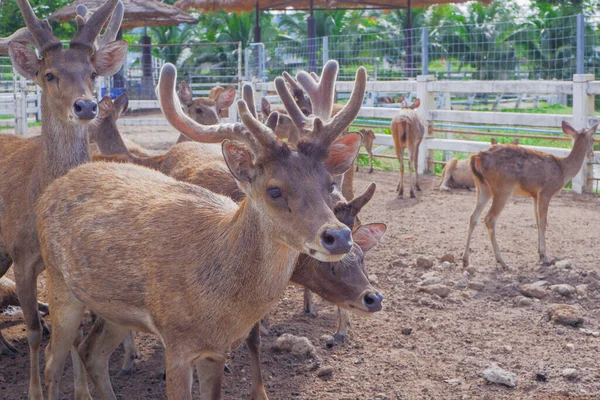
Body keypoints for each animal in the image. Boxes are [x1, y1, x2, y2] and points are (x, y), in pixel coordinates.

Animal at [0, 1, 125, 398]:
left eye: (93, 73)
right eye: (49, 74)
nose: (85, 106)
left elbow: (75, 335)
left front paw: (82, 391)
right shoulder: (23, 258)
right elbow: (34, 333)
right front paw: (34, 392)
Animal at [36, 60, 366, 400]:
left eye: (329, 184)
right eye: (274, 190)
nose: (338, 236)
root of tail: (54, 186)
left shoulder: (215, 351)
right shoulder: (176, 343)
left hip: (113, 309)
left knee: (92, 352)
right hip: (59, 284)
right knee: (52, 360)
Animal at [464, 120, 596, 268]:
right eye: (593, 139)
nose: (592, 154)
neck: (564, 170)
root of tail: (477, 156)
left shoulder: (534, 195)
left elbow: (537, 222)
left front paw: (539, 254)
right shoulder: (546, 191)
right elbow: (543, 222)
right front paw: (545, 257)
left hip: (482, 187)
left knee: (473, 216)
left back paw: (465, 260)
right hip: (503, 187)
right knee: (489, 218)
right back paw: (502, 261)